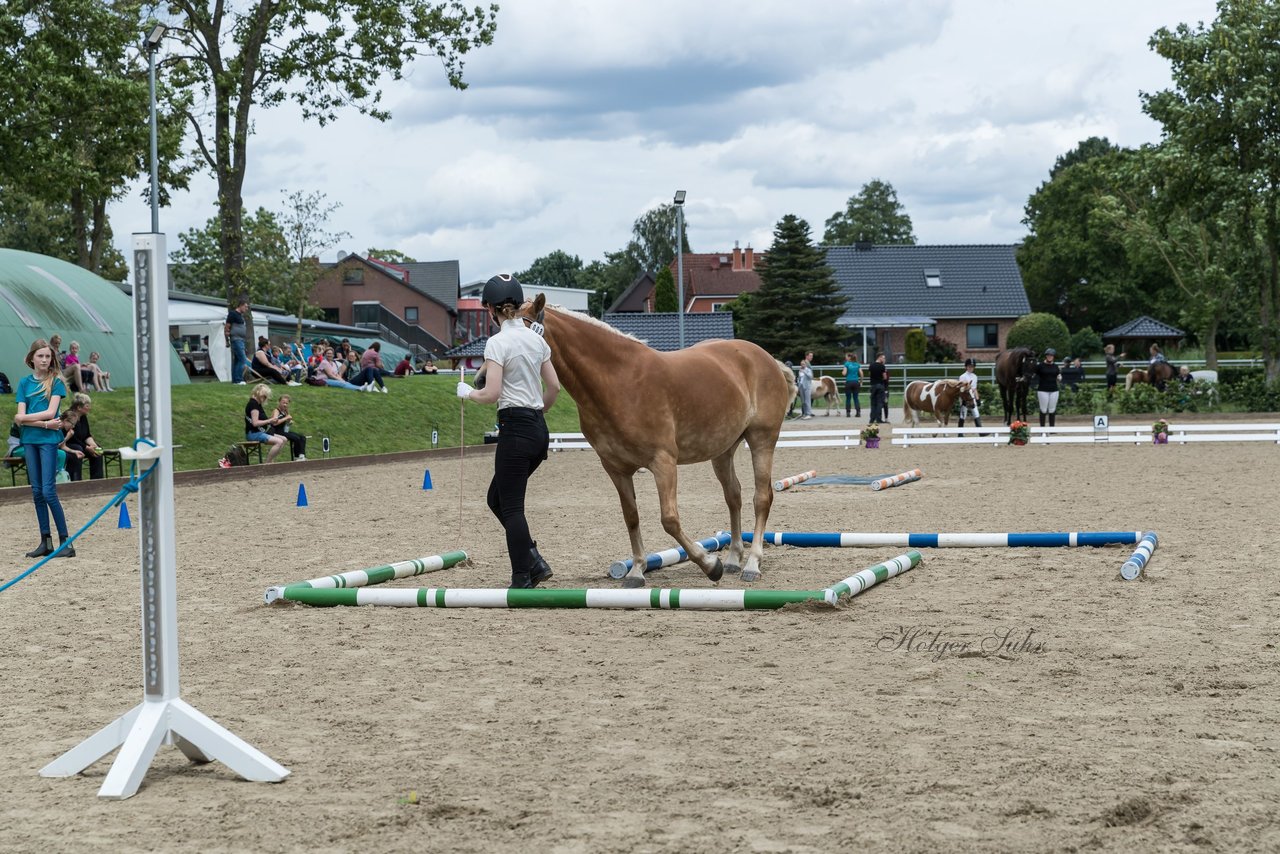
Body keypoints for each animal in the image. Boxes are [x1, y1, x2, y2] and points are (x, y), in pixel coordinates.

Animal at [517, 295, 793, 588]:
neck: (619, 380)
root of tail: (767, 359)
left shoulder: (663, 463)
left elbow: (669, 519)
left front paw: (710, 565)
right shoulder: (616, 469)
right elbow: (631, 517)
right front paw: (637, 570)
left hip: (762, 440)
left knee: (761, 497)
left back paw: (751, 564)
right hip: (722, 451)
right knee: (734, 496)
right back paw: (732, 558)